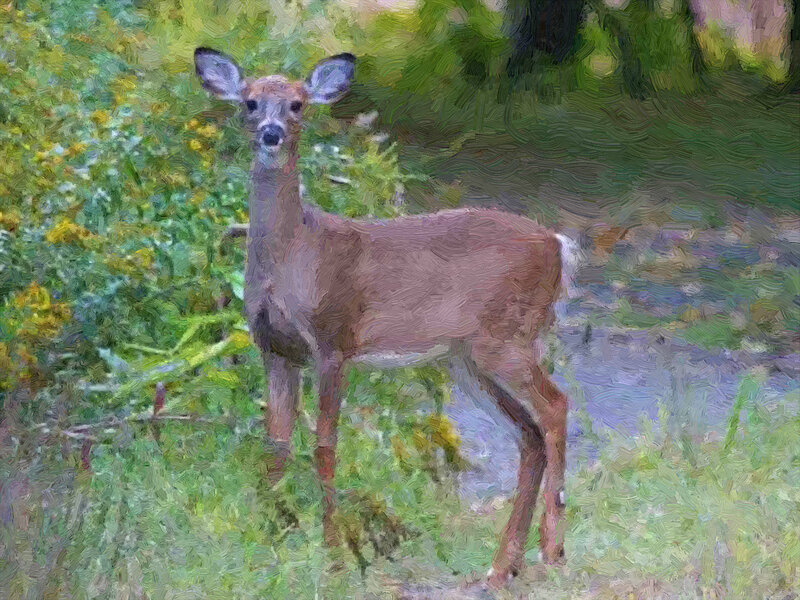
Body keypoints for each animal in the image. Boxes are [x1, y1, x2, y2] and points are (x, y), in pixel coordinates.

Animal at [194, 46, 577, 588]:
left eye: (297, 104)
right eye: (249, 102)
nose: (270, 133)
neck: (296, 254)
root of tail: (558, 245)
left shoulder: (334, 339)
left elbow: (325, 446)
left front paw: (332, 553)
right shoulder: (274, 349)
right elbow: (275, 444)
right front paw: (271, 538)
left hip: (506, 337)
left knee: (555, 407)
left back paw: (552, 551)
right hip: (468, 358)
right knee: (529, 435)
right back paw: (503, 566)